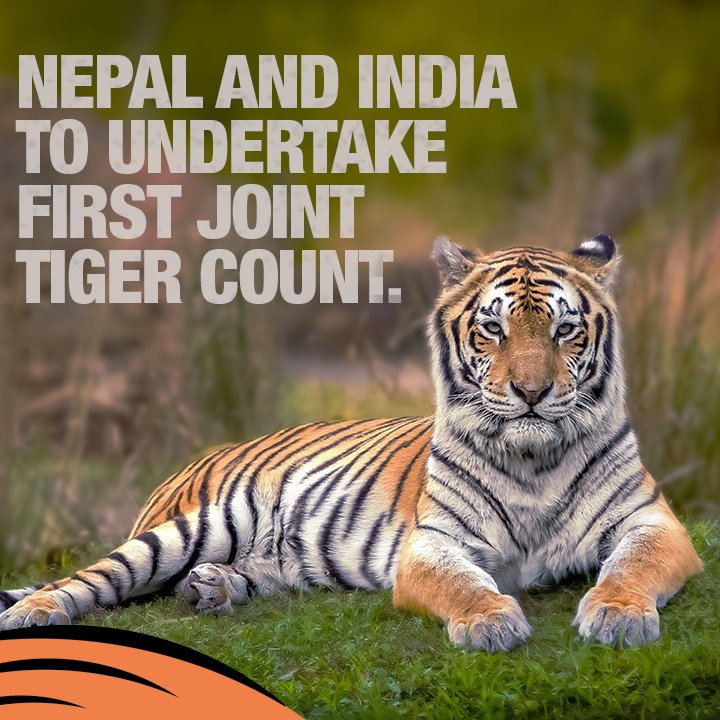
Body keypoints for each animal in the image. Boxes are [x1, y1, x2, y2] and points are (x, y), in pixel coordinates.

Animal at [0, 234, 703, 652]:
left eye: (565, 331)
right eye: (493, 331)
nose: (531, 391)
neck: (535, 459)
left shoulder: (653, 522)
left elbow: (632, 567)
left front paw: (618, 615)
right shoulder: (433, 543)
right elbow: (464, 584)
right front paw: (490, 622)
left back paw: (212, 590)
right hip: (188, 529)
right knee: (96, 577)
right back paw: (33, 612)